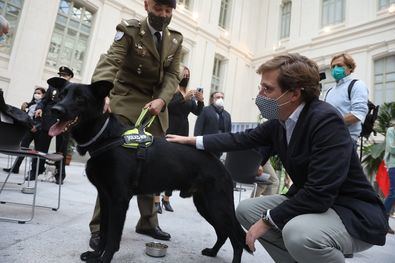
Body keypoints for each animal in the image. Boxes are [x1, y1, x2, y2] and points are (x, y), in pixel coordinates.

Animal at [48, 77, 252, 262]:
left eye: (80, 98)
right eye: (61, 95)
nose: (55, 110)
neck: (106, 137)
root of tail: (221, 165)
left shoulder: (119, 201)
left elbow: (113, 237)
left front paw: (104, 259)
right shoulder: (106, 198)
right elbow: (104, 233)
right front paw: (95, 255)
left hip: (217, 206)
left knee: (236, 239)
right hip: (205, 205)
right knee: (223, 232)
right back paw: (212, 252)